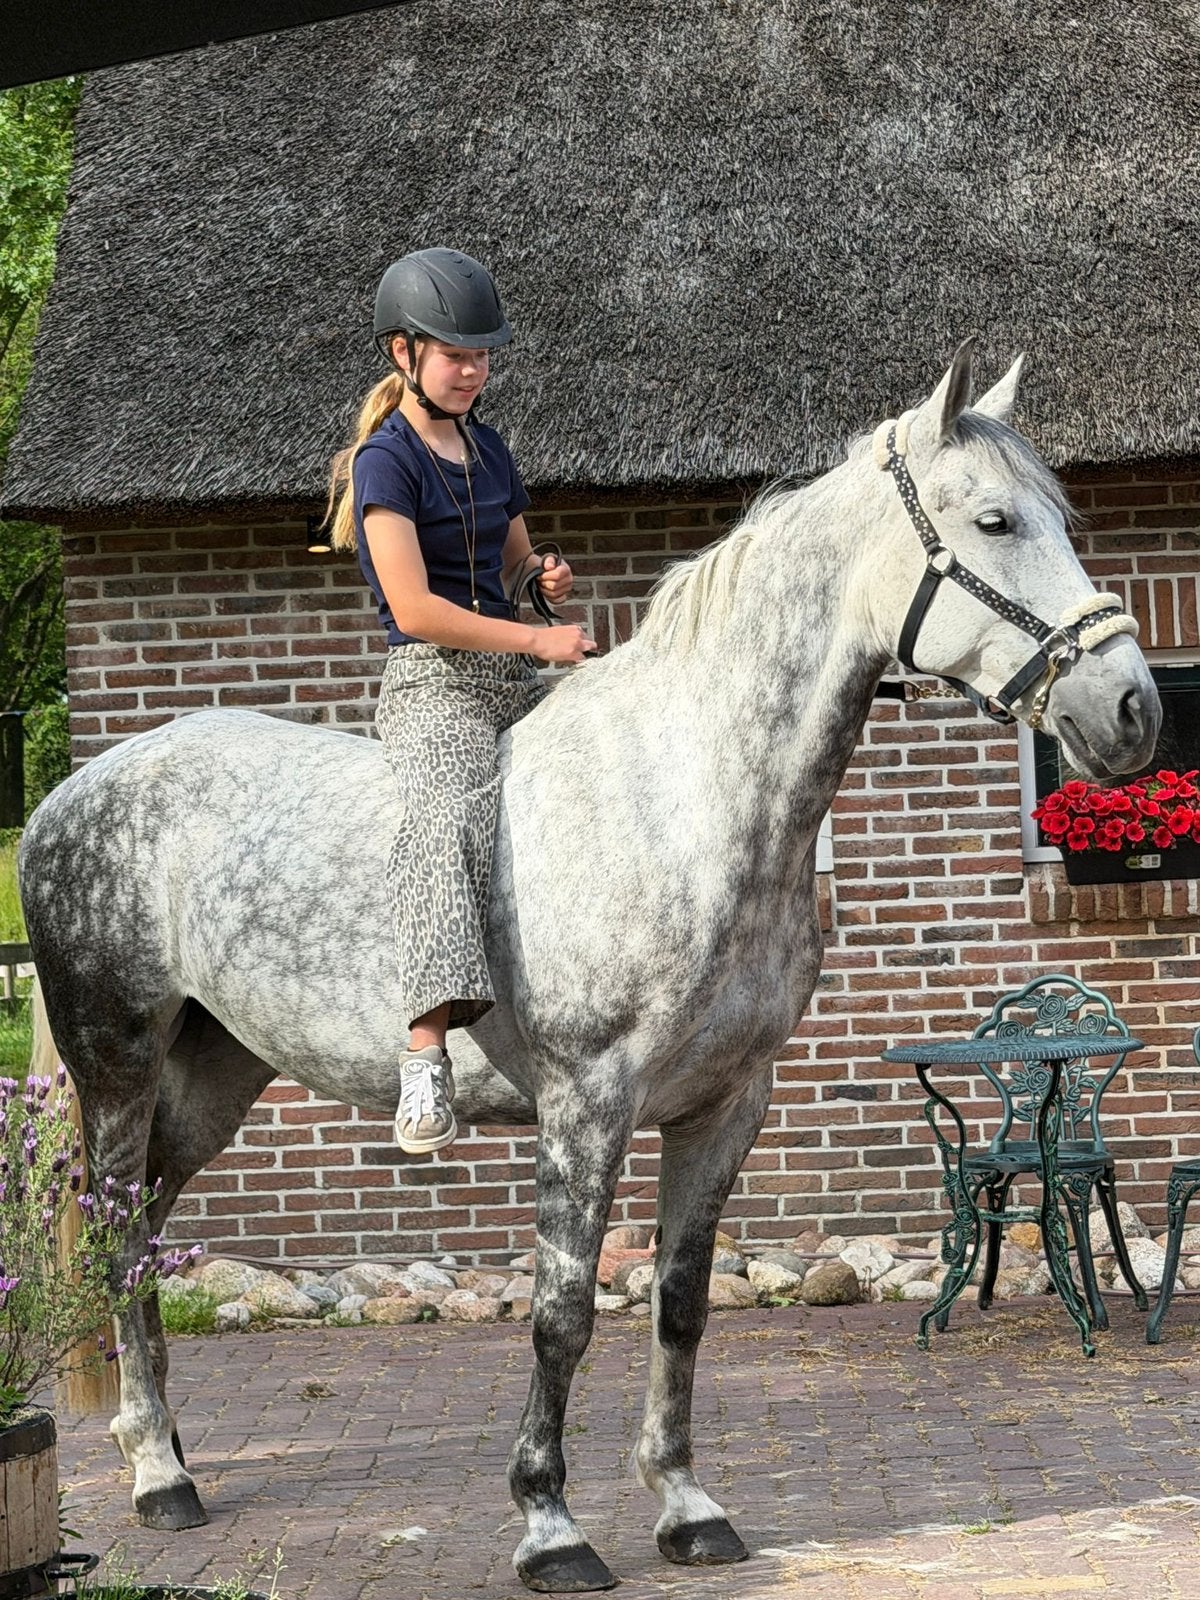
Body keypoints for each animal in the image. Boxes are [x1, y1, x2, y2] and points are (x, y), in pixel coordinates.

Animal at [20, 344, 1159, 1593]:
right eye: (995, 520)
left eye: (1062, 516)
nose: (1131, 708)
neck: (684, 791)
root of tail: (70, 797)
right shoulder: (587, 1102)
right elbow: (563, 1313)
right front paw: (550, 1524)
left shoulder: (725, 1106)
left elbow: (680, 1303)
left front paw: (688, 1506)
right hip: (120, 1071)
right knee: (119, 1237)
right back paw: (155, 1475)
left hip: (213, 1079)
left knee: (145, 1234)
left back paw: (169, 1452)